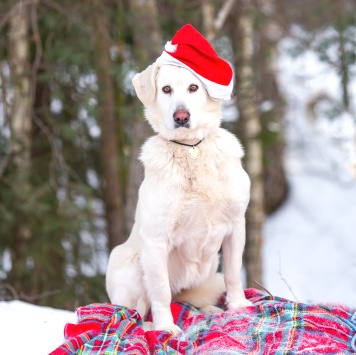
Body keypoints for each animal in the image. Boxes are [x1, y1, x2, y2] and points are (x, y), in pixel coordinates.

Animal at [105, 62, 253, 336]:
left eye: (194, 87)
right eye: (166, 89)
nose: (181, 117)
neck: (191, 148)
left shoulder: (237, 225)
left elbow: (233, 273)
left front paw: (238, 305)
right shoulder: (156, 241)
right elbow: (160, 292)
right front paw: (165, 327)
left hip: (209, 269)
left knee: (187, 300)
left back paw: (209, 309)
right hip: (130, 265)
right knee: (133, 315)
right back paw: (150, 325)